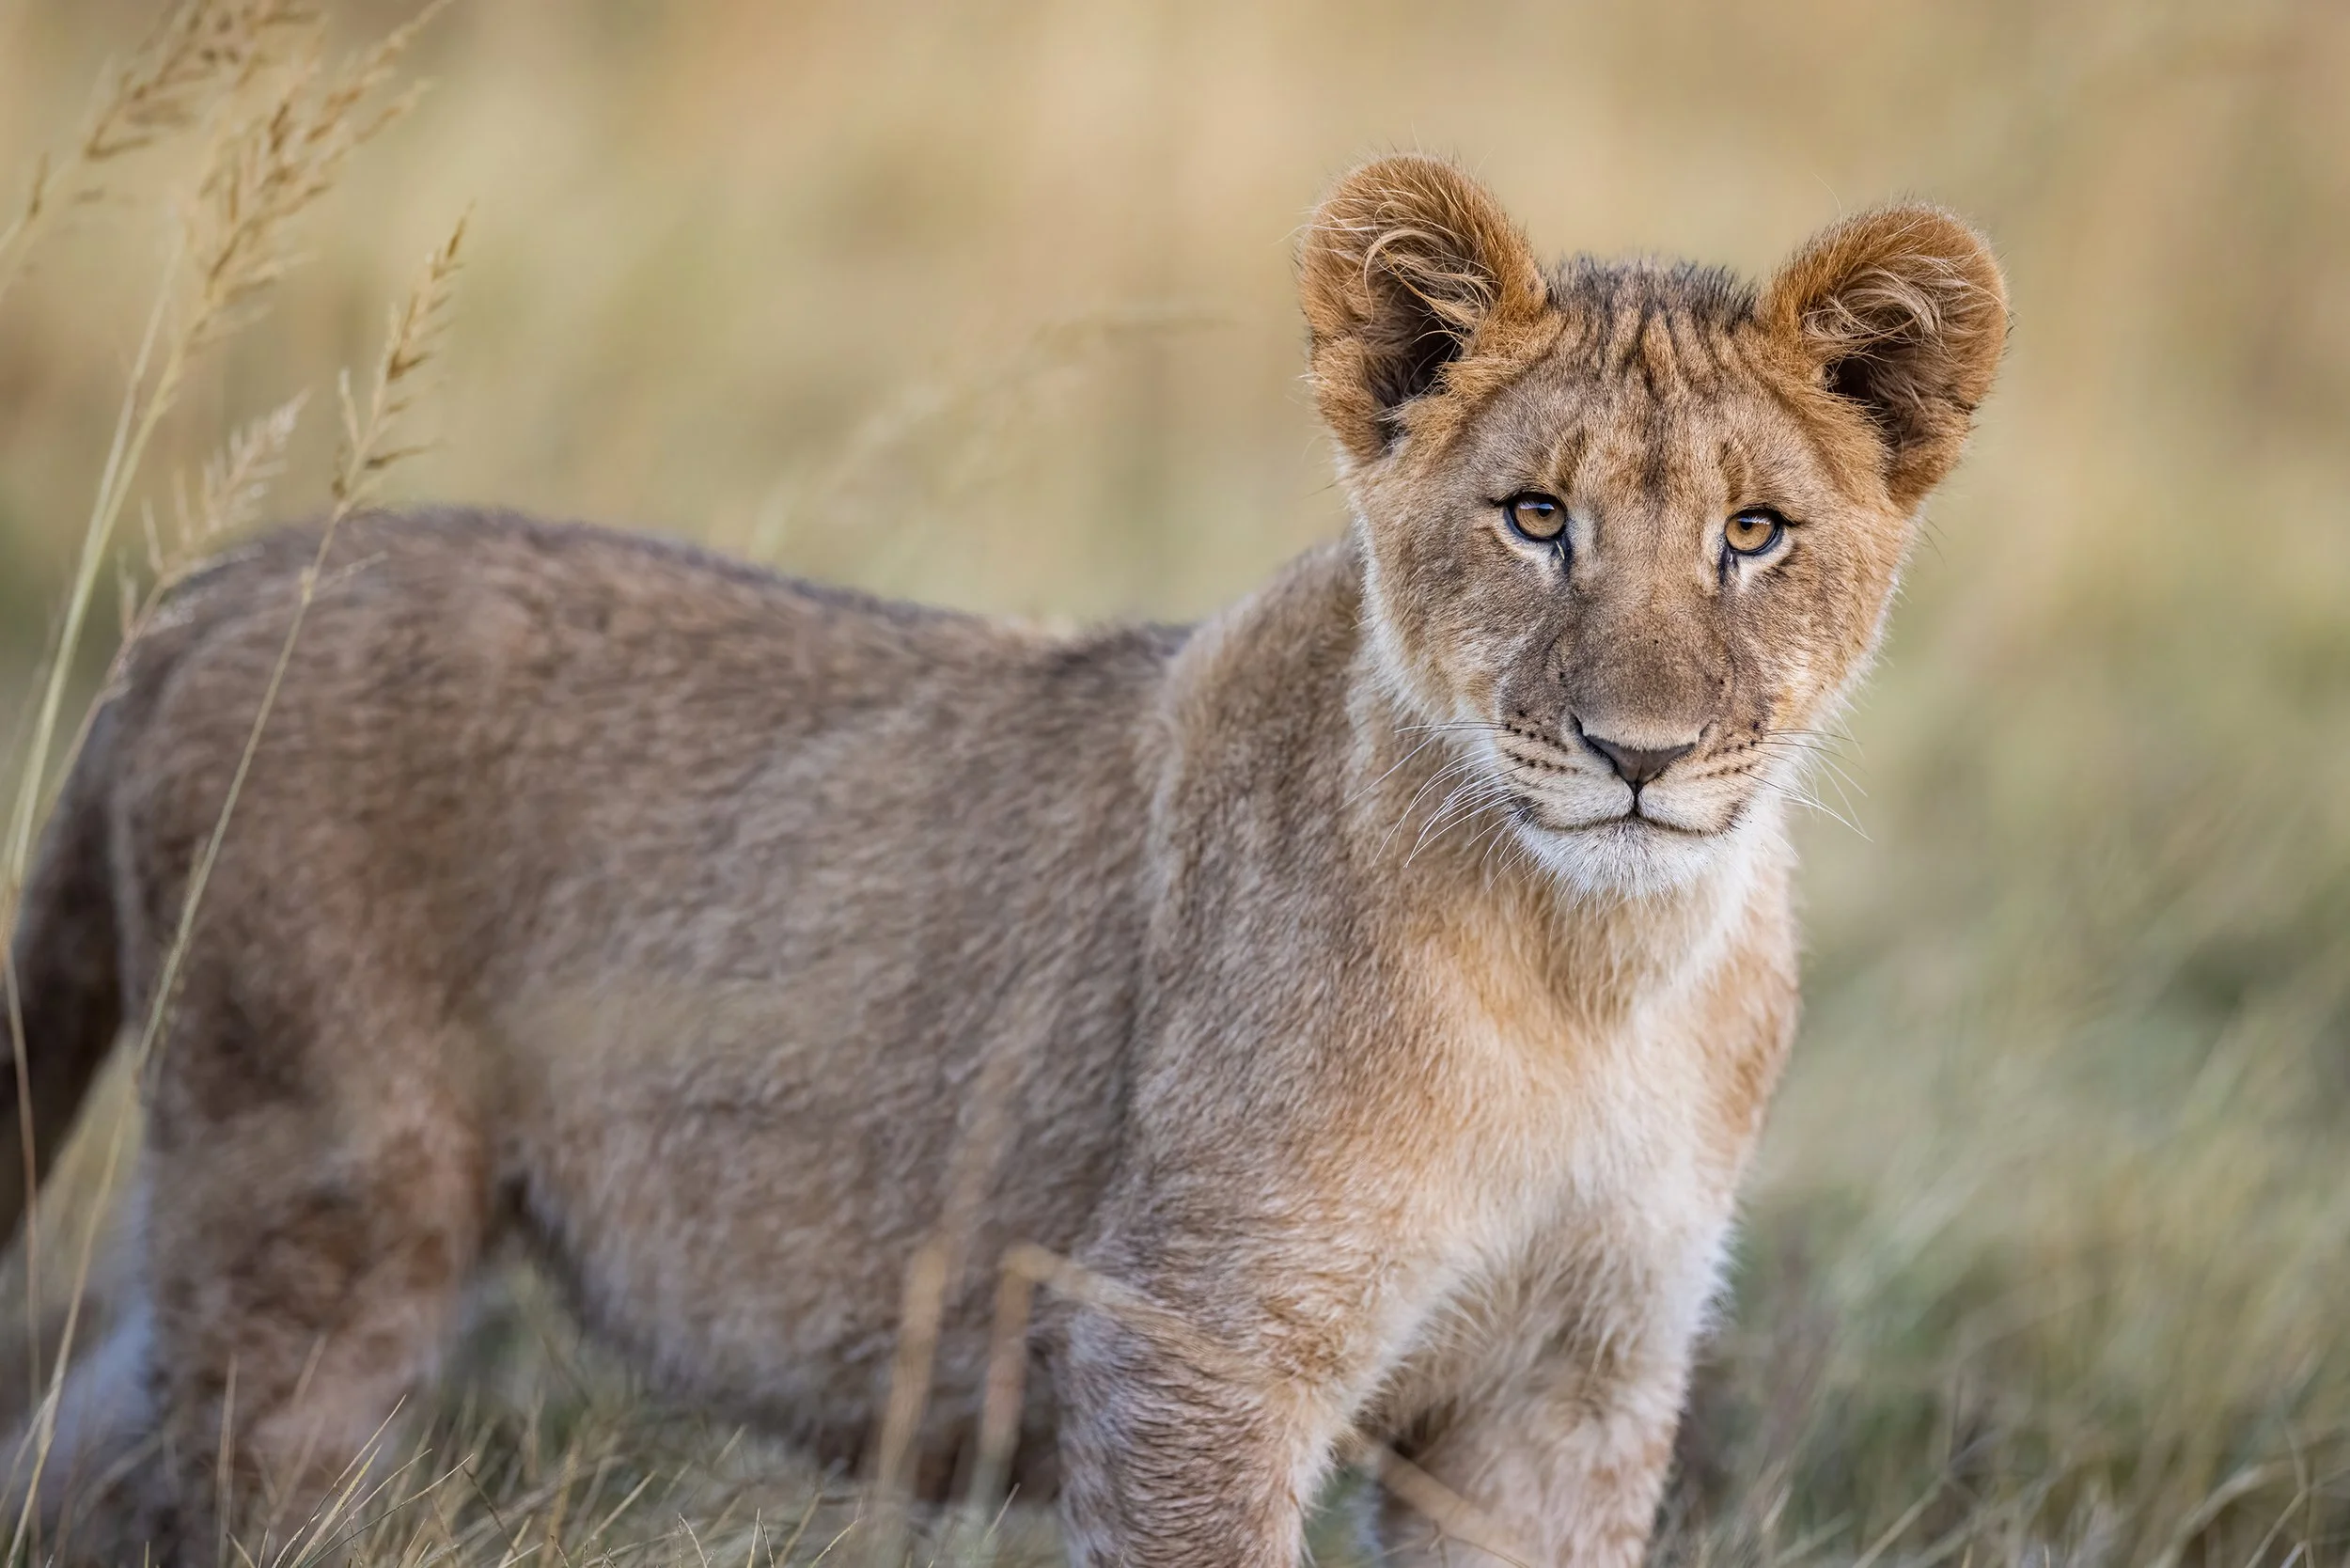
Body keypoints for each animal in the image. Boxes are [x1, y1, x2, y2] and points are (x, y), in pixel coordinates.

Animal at [1, 155, 2005, 1564]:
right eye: (1534, 519)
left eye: (1756, 533)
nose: (1638, 755)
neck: (1594, 969)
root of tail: (230, 580)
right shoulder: (1186, 1347)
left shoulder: (1570, 1391)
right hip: (327, 1206)